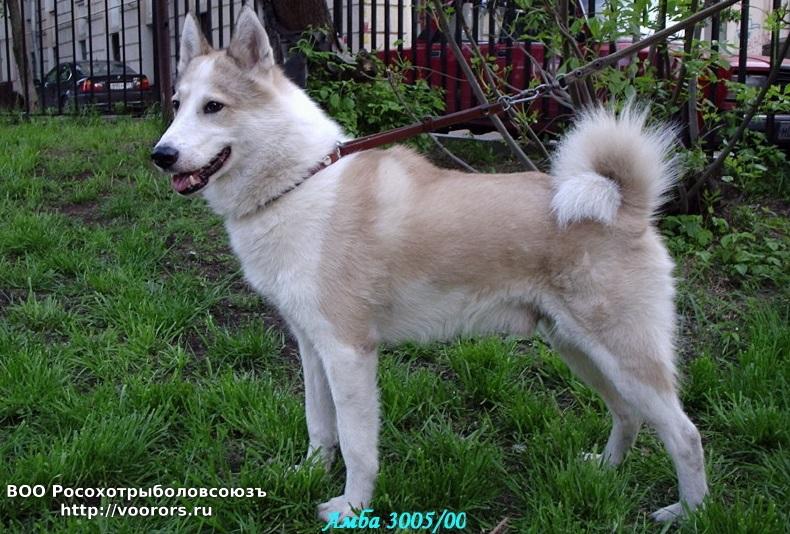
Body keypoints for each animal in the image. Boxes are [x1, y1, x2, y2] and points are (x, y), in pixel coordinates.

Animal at [152, 7, 707, 523]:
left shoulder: (349, 352)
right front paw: (307, 473)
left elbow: (357, 445)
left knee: (686, 436)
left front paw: (352, 508)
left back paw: (689, 512)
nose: (161, 155)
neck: (300, 181)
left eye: (214, 107)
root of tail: (624, 205)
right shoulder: (312, 345)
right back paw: (606, 469)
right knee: (628, 414)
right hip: (577, 348)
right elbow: (318, 423)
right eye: (177, 105)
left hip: (623, 355)